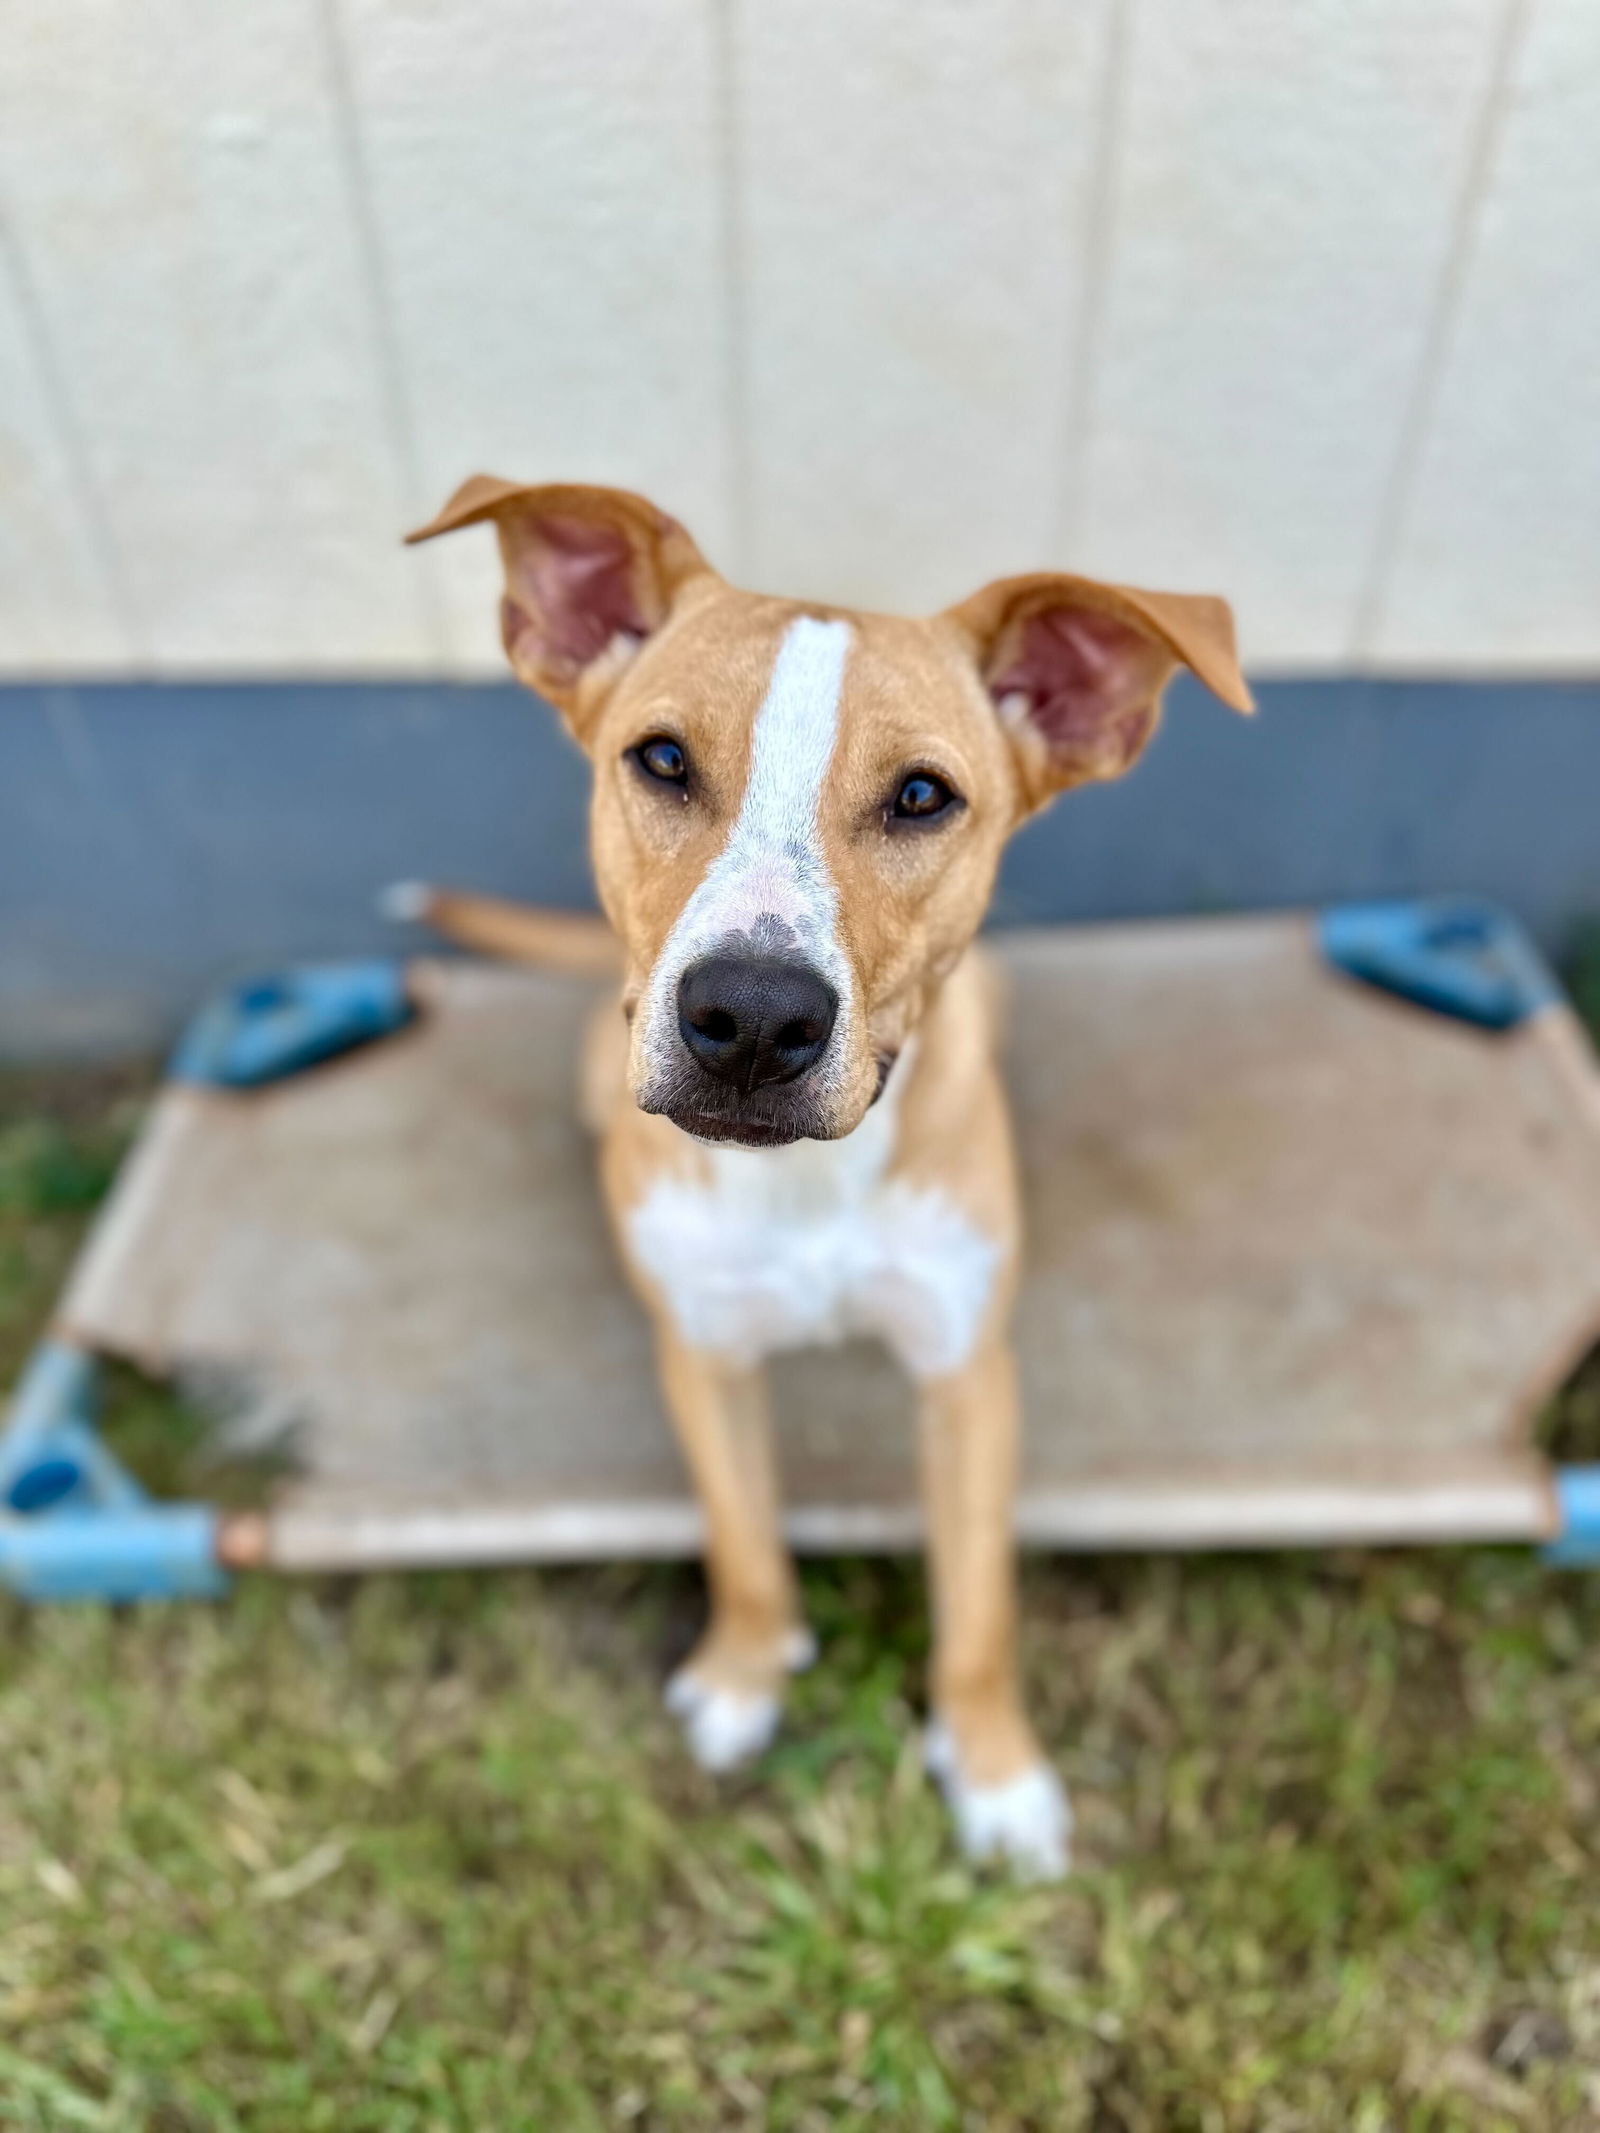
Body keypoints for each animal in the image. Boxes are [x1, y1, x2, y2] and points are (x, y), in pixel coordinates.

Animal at [401, 475, 1254, 1877]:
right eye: (662, 761)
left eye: (921, 797)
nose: (750, 1020)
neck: (801, 1185)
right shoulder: (702, 1351)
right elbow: (744, 1536)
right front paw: (746, 1675)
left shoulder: (967, 1374)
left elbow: (977, 1603)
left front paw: (995, 1771)